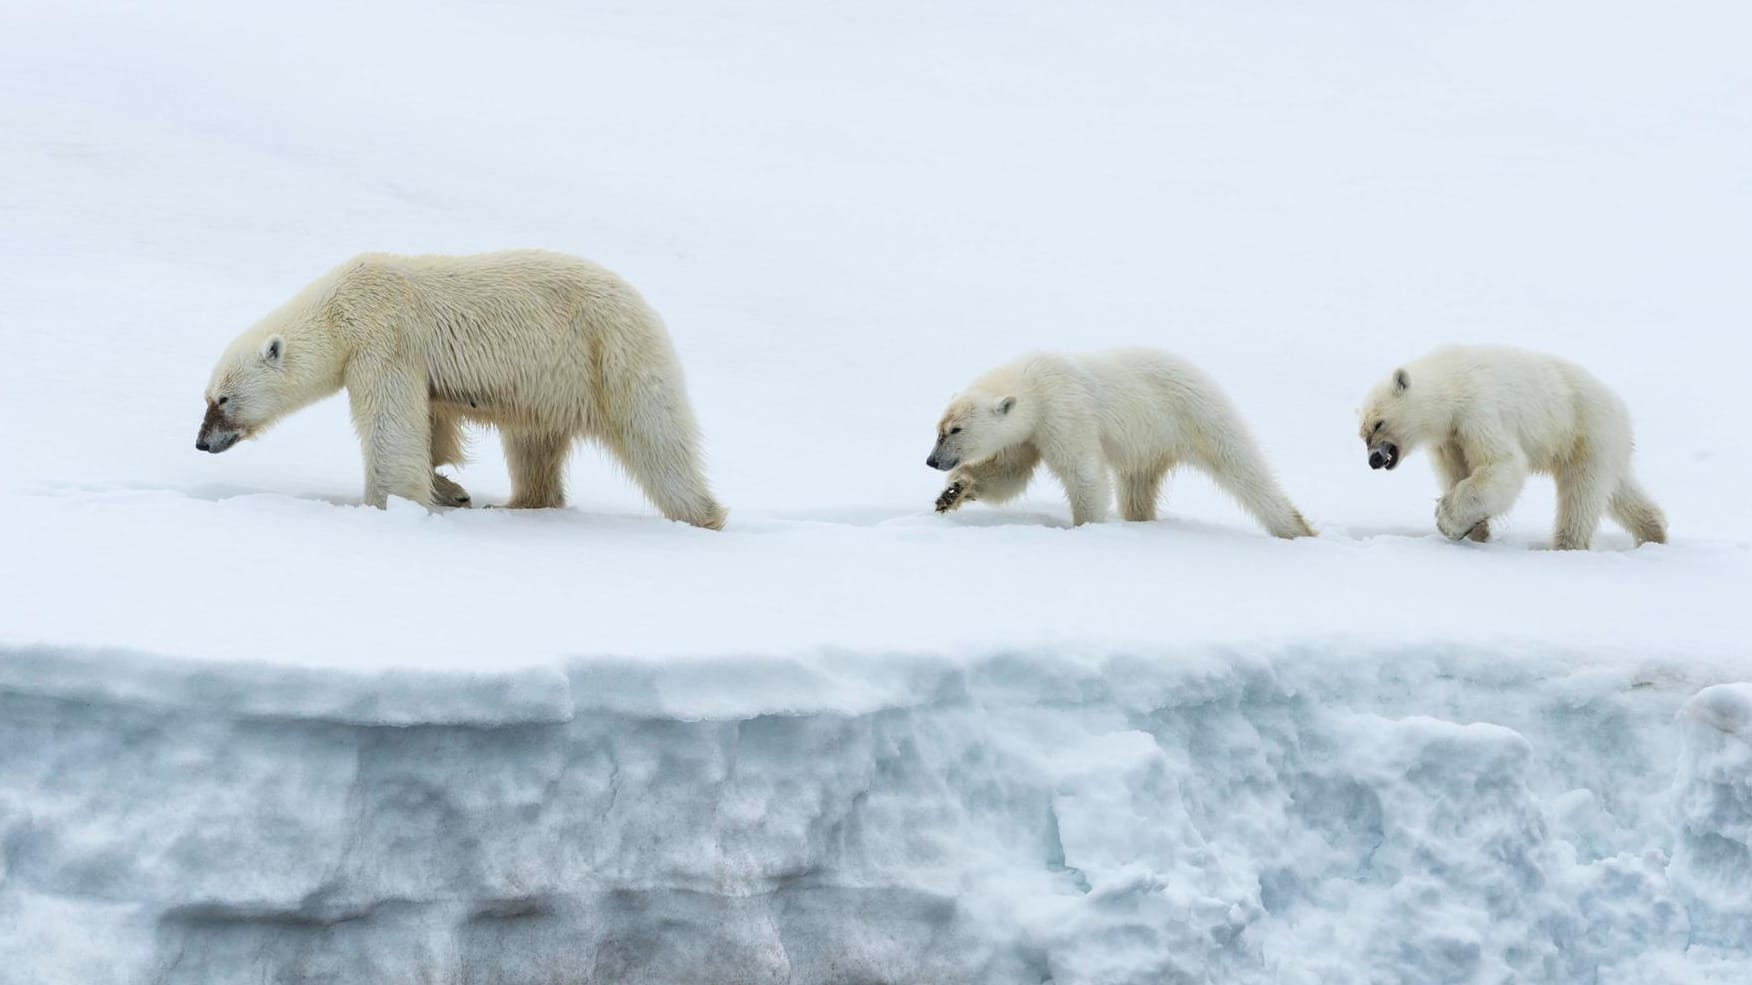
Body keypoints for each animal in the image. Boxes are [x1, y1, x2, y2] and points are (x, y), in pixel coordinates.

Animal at [198, 250, 725, 529]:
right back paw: (520, 503)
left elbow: (391, 428)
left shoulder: (383, 339)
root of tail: (644, 306)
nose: (201, 442)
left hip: (610, 358)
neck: (338, 310)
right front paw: (450, 490)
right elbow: (432, 428)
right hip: (549, 389)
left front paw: (390, 506)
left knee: (656, 439)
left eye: (222, 400)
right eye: (206, 398)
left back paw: (702, 515)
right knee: (533, 446)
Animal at [932, 348, 1317, 536]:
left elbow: (1083, 472)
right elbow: (1008, 474)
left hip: (1197, 418)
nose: (932, 461)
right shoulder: (1027, 434)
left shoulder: (1064, 410)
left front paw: (1085, 527)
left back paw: (1295, 530)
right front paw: (951, 493)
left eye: (956, 430)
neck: (1034, 381)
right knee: (1136, 491)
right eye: (939, 428)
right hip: (1146, 449)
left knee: (1245, 472)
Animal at [1352, 343, 1667, 543]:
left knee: (1581, 494)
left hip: (1585, 430)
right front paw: (1476, 532)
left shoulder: (1479, 410)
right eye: (1363, 434)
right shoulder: (1450, 439)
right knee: (1617, 490)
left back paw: (1566, 544)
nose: (1374, 459)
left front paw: (1447, 519)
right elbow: (1457, 472)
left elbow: (1502, 464)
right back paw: (1654, 532)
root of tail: (1621, 409)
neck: (1452, 385)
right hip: (1604, 444)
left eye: (1379, 423)